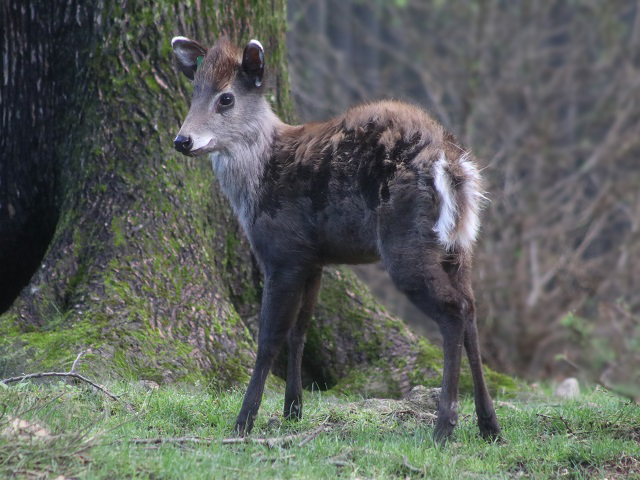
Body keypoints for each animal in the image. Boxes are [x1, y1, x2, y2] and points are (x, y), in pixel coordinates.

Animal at [170, 36, 501, 443]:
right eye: (194, 91)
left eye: (226, 98)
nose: (182, 140)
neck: (259, 180)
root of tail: (452, 165)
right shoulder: (314, 259)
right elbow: (300, 331)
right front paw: (292, 411)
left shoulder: (283, 252)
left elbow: (269, 338)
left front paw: (244, 421)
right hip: (459, 247)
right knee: (471, 309)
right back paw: (489, 425)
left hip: (406, 243)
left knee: (453, 311)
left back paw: (444, 427)